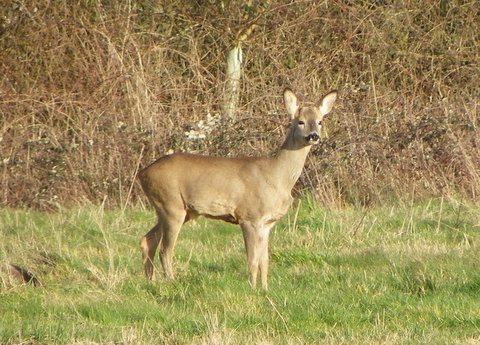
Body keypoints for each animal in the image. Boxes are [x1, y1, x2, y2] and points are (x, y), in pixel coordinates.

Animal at [138, 87, 338, 288]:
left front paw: (265, 289)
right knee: (165, 249)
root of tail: (143, 173)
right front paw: (252, 288)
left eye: (320, 121)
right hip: (171, 203)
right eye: (300, 121)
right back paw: (171, 282)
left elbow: (264, 260)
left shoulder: (267, 223)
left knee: (148, 240)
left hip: (179, 210)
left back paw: (150, 281)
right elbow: (252, 260)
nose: (313, 136)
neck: (277, 177)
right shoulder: (249, 216)